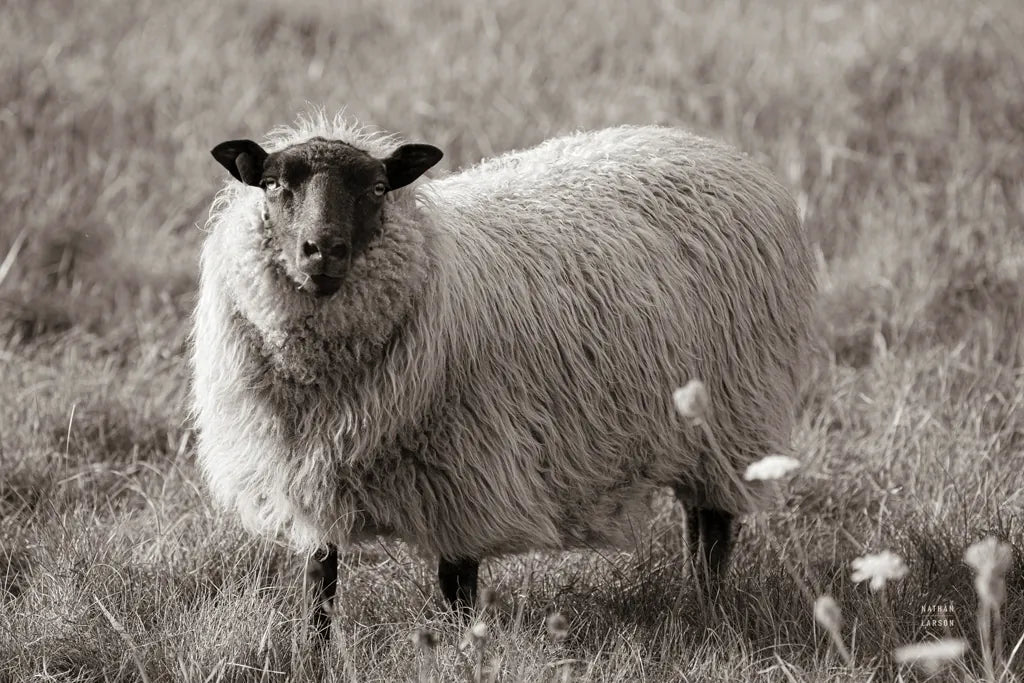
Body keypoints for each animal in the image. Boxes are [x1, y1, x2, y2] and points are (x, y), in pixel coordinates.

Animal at [193, 111, 817, 640]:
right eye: (273, 183)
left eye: (377, 189)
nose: (323, 251)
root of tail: (711, 148)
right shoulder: (308, 476)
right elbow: (320, 580)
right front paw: (315, 651)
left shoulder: (466, 475)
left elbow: (457, 586)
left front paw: (459, 650)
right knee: (697, 518)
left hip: (734, 410)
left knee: (713, 524)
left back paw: (707, 603)